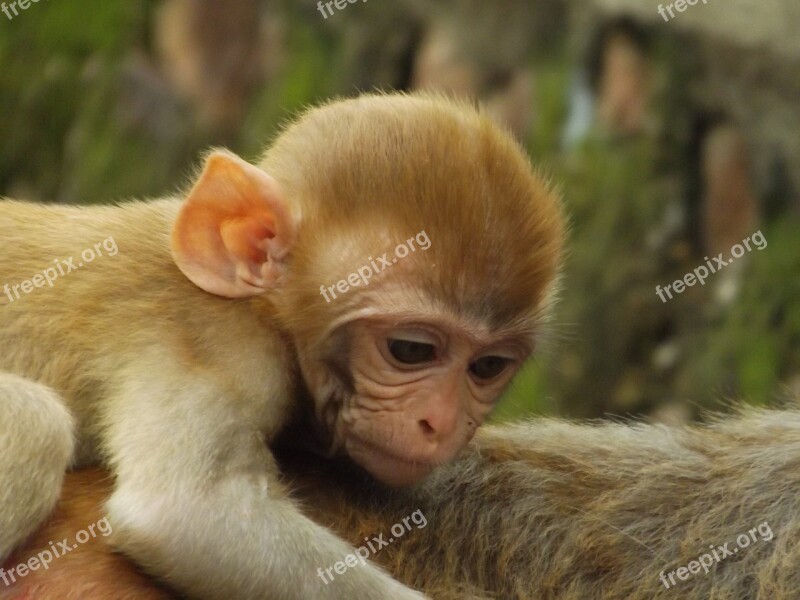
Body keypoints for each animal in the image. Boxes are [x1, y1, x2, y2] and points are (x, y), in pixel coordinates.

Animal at [0, 92, 564, 600]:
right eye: (410, 350)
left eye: (487, 366)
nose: (442, 423)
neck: (260, 307)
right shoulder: (222, 346)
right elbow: (186, 511)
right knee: (36, 428)